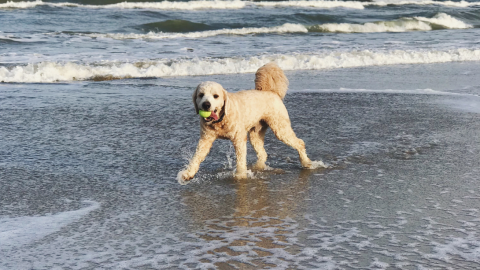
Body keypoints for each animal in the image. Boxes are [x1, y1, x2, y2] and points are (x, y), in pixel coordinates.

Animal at [178, 62, 314, 184]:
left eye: (215, 96)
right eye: (201, 95)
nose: (206, 104)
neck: (221, 120)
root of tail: (271, 91)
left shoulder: (239, 138)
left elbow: (240, 159)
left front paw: (240, 175)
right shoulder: (205, 140)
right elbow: (196, 157)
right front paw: (188, 173)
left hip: (280, 128)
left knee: (300, 143)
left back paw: (306, 162)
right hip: (255, 134)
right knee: (263, 153)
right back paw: (258, 167)